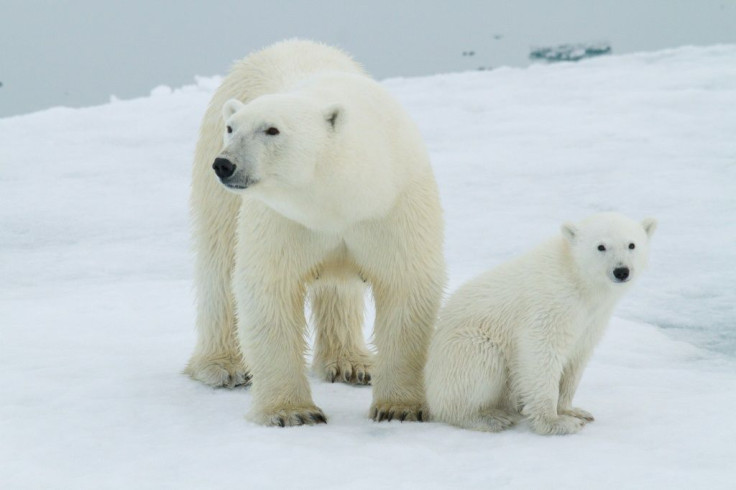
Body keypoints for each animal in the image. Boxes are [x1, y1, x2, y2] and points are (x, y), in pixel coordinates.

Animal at [187, 40, 446, 426]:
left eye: (272, 129)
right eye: (232, 128)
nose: (225, 164)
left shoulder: (392, 204)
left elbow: (406, 285)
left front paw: (399, 407)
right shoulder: (283, 218)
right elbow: (269, 288)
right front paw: (291, 412)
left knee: (339, 292)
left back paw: (352, 363)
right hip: (217, 185)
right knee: (219, 262)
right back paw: (223, 366)